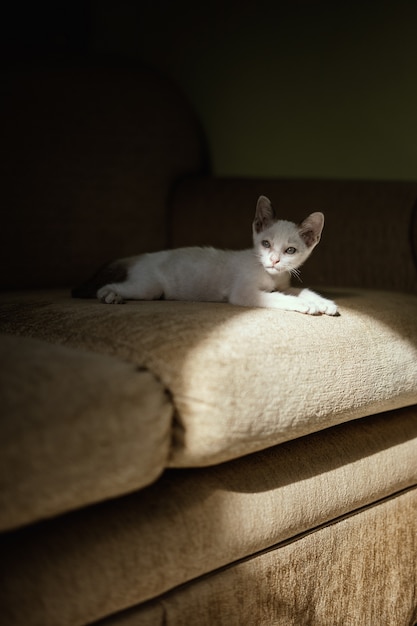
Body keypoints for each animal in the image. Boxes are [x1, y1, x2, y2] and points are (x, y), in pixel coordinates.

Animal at [71, 195, 338, 314]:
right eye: (266, 244)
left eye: (290, 250)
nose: (274, 260)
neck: (271, 276)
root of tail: (144, 256)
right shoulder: (245, 292)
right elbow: (280, 298)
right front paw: (306, 305)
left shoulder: (283, 283)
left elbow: (300, 290)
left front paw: (323, 302)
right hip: (149, 288)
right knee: (109, 287)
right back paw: (110, 296)